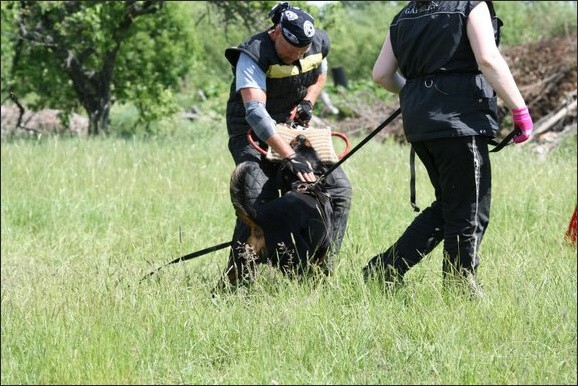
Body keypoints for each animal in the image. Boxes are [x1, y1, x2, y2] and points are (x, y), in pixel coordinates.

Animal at [225, 134, 332, 284]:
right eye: (308, 145)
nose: (301, 136)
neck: (302, 183)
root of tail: (259, 217)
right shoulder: (324, 248)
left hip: (238, 263)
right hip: (297, 261)